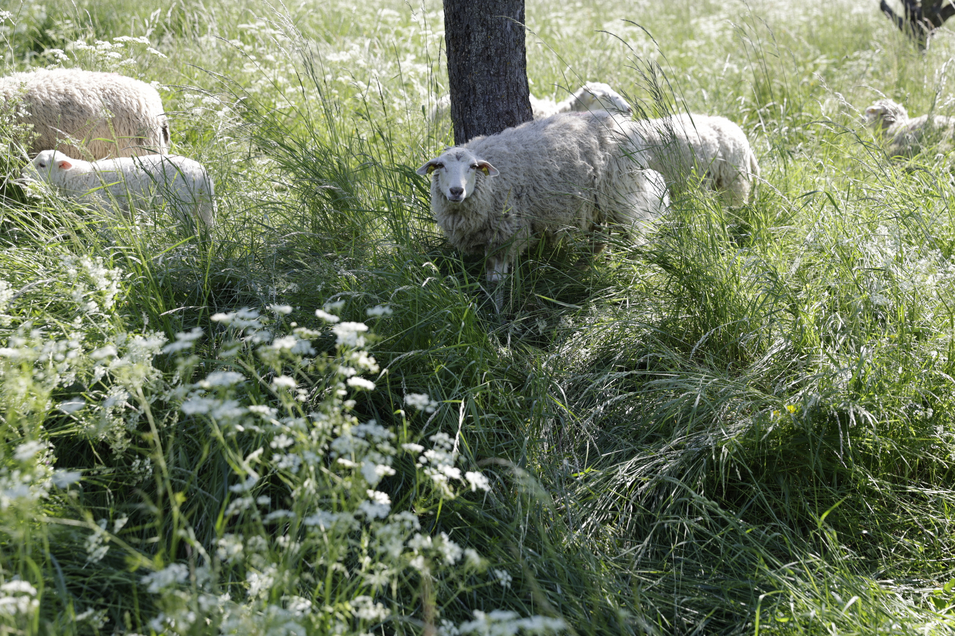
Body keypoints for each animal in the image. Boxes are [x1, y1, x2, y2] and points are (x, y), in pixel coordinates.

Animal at [28, 149, 215, 228]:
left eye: (42, 165)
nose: (23, 172)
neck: (76, 175)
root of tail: (201, 173)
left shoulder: (105, 209)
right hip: (205, 203)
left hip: (181, 203)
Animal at [416, 112, 668, 284]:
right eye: (441, 166)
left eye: (472, 167)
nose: (456, 191)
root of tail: (622, 123)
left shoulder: (506, 232)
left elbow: (497, 280)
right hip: (594, 203)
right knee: (599, 239)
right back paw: (580, 269)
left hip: (619, 194)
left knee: (631, 233)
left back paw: (633, 268)